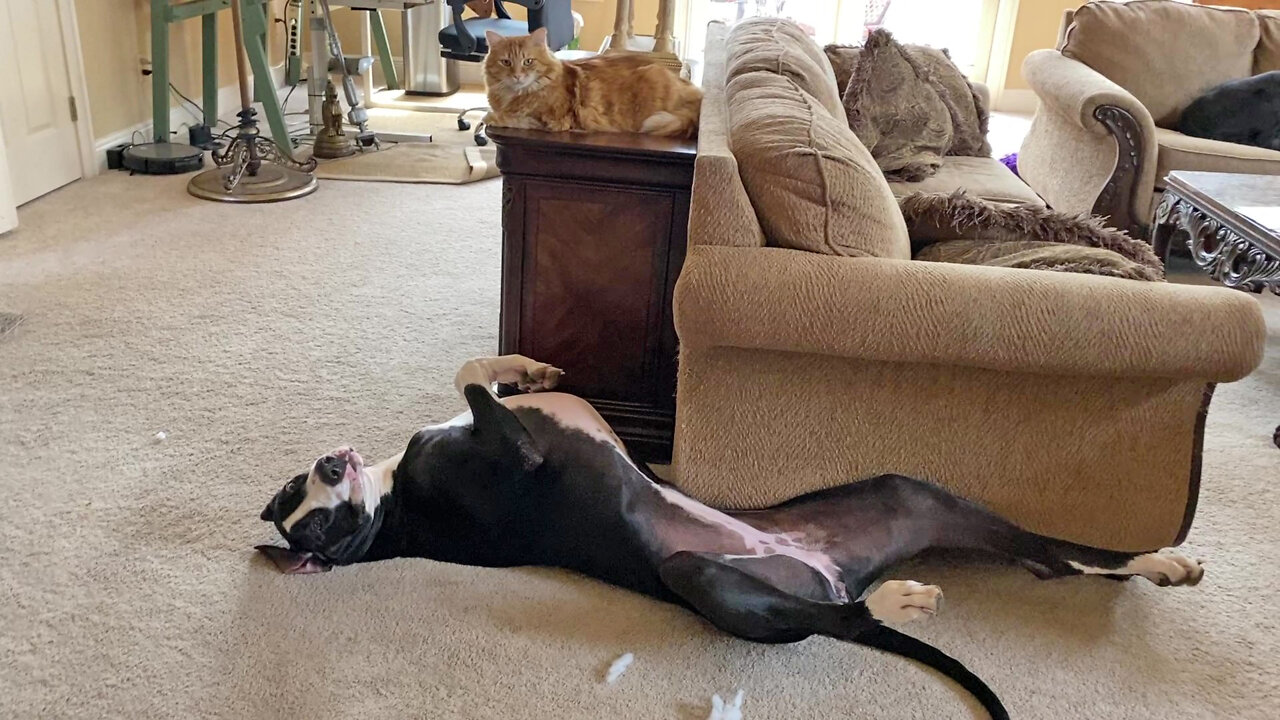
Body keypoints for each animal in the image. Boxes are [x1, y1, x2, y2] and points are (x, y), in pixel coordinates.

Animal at [257, 353, 1198, 717]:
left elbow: (479, 373)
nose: (332, 464)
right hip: (702, 577)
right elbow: (471, 381)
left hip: (911, 493)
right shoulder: (516, 456)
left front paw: (524, 367)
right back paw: (894, 600)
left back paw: (1161, 561)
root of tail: (829, 570)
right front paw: (511, 374)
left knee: (1052, 557)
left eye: (300, 496)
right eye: (323, 525)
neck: (392, 506)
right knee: (837, 622)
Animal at [481, 28, 701, 137]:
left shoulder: (553, 121)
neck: (514, 95)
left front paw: (490, 117)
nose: (517, 76)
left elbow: (512, 118)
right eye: (506, 62)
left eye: (528, 61)